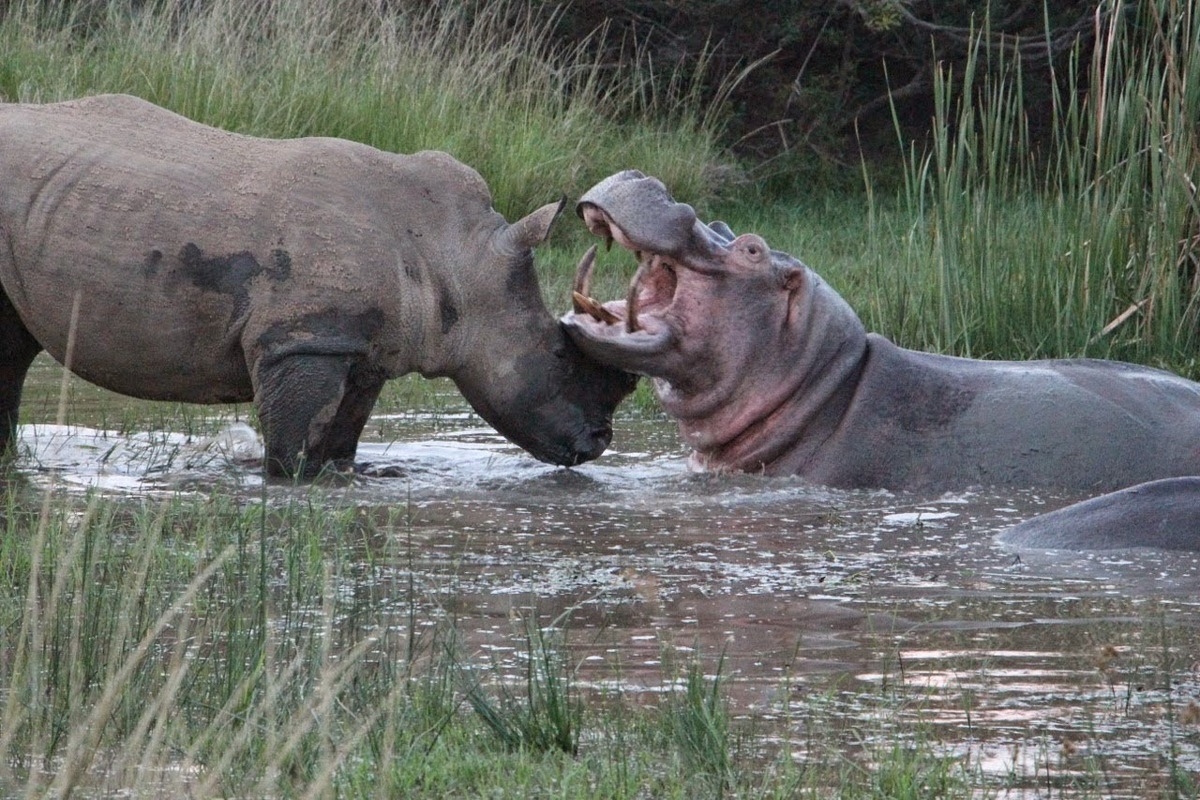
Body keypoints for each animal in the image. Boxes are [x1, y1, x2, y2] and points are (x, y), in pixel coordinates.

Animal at [0, 97, 638, 479]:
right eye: (556, 354)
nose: (598, 443)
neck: (458, 255)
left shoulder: (363, 347)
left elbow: (340, 444)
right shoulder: (302, 338)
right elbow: (292, 452)